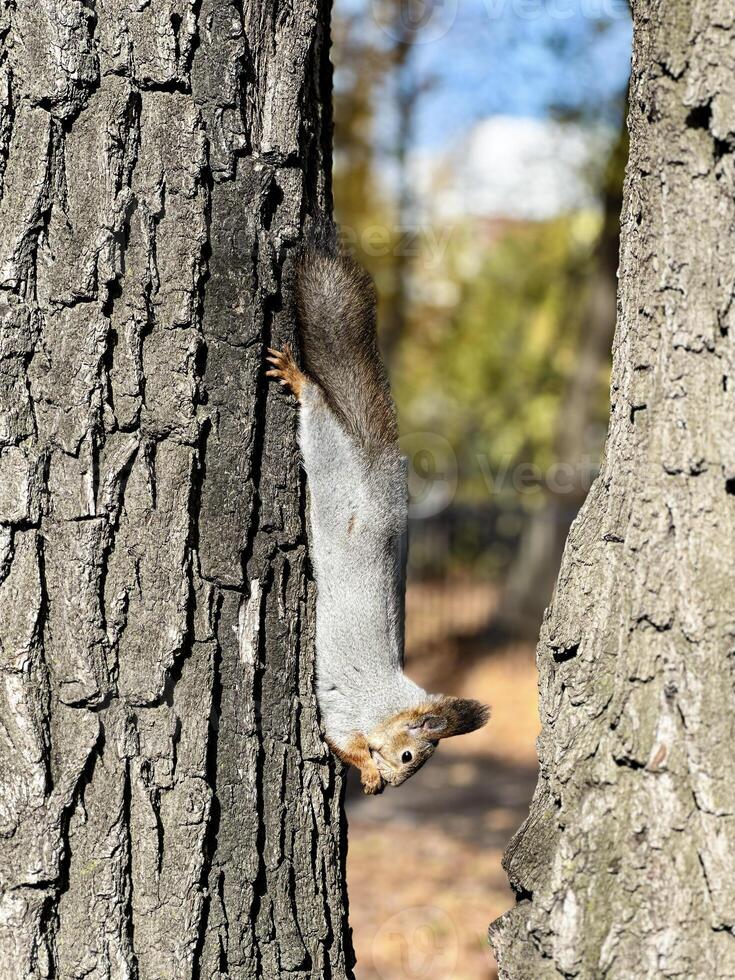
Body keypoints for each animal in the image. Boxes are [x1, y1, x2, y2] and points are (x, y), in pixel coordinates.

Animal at [264, 249, 488, 792]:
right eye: (409, 755)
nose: (395, 785)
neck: (389, 701)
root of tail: (376, 471)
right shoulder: (348, 707)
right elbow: (343, 740)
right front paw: (366, 772)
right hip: (330, 462)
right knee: (321, 418)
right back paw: (300, 381)